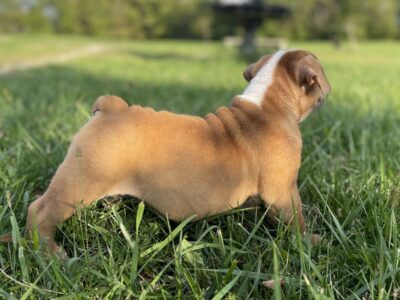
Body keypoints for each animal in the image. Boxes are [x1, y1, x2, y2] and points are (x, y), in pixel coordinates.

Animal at [25, 49, 332, 255]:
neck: (269, 103)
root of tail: (111, 107)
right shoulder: (283, 191)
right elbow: (296, 219)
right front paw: (310, 241)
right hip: (83, 181)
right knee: (41, 211)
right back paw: (49, 253)